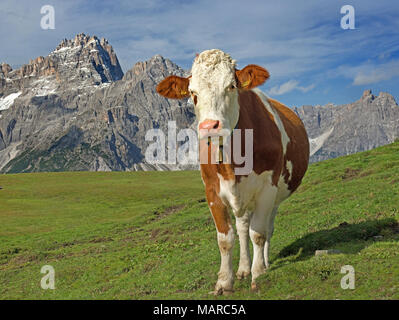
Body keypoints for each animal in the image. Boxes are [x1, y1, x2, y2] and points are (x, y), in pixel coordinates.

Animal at [156, 49, 310, 296]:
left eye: (231, 86)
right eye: (192, 92)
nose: (210, 127)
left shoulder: (267, 188)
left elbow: (258, 234)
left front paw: (258, 275)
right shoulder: (212, 192)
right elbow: (226, 238)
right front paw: (225, 282)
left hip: (275, 197)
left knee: (267, 228)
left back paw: (264, 264)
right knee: (242, 227)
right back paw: (244, 268)